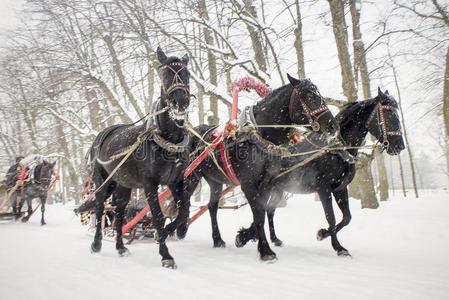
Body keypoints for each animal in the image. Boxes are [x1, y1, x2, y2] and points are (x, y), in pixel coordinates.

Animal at [87, 47, 191, 270]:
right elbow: (158, 216)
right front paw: (165, 254)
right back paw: (97, 243)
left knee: (119, 212)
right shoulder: (150, 183)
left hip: (123, 185)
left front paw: (170, 231)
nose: (180, 103)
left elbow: (183, 210)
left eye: (186, 74)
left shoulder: (175, 180)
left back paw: (120, 246)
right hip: (102, 182)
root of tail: (102, 134)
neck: (167, 138)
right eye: (165, 74)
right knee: (100, 209)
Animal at [184, 75, 338, 260]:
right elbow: (259, 216)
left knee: (212, 206)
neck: (259, 136)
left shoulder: (267, 184)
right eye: (308, 95)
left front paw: (246, 237)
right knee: (183, 199)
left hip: (215, 181)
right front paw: (265, 250)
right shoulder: (248, 184)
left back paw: (217, 240)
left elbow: (263, 213)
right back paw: (176, 229)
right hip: (192, 175)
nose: (332, 125)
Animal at [236, 88, 404, 256]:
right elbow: (332, 217)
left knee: (269, 210)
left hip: (278, 190)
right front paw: (338, 247)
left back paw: (269, 238)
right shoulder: (324, 189)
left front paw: (323, 233)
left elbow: (347, 218)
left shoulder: (340, 188)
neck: (336, 150)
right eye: (388, 113)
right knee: (265, 211)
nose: (399, 146)